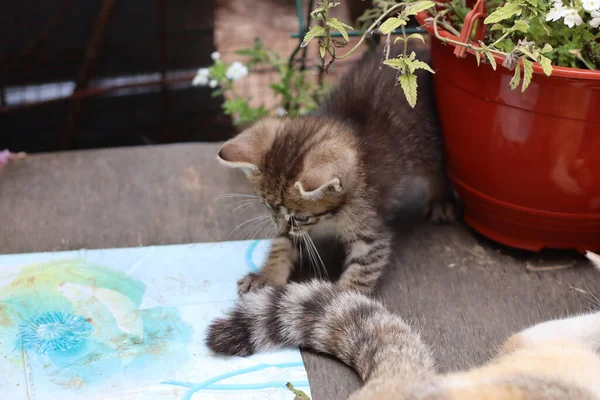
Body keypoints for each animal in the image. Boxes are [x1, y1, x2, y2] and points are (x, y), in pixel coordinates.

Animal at [218, 44, 452, 294]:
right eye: (267, 207)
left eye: (301, 217)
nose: (281, 227)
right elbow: (281, 245)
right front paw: (267, 275)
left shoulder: (369, 231)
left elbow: (362, 270)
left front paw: (343, 298)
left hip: (427, 140)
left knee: (438, 166)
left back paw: (440, 199)